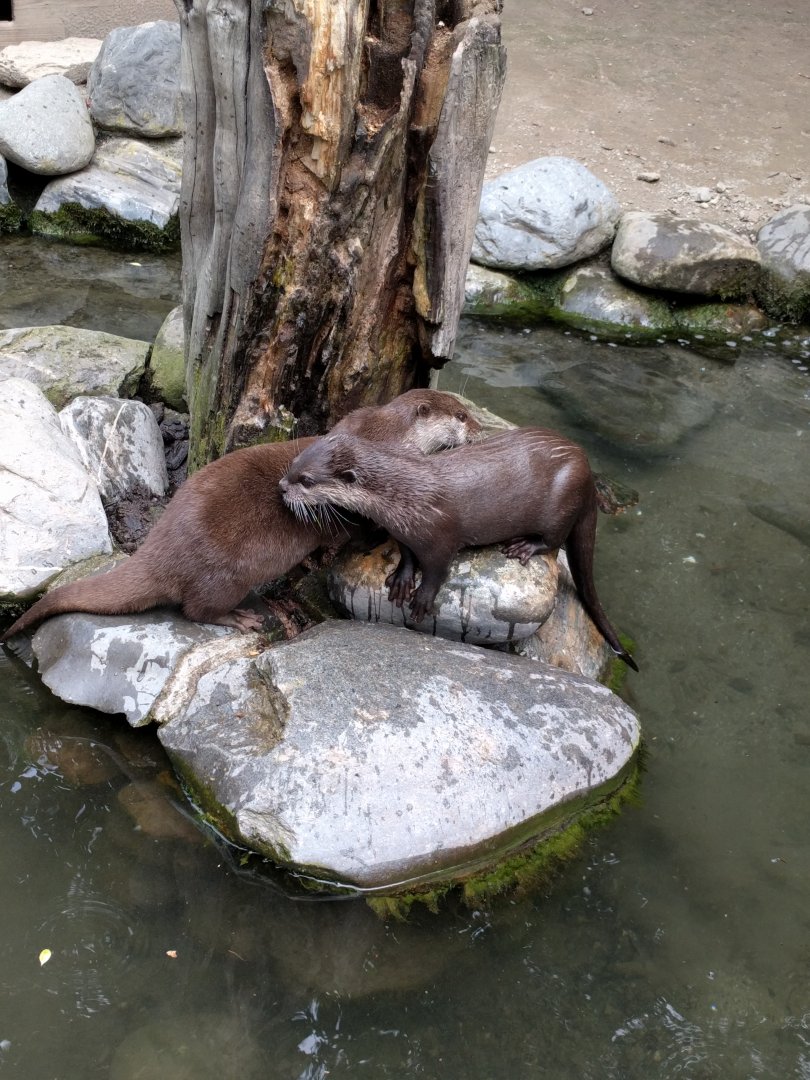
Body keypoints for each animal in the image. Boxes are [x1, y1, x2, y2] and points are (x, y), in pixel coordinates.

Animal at [2, 390, 481, 641]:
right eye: (462, 415)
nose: (479, 430)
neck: (388, 437)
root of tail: (158, 551)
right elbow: (360, 531)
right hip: (226, 574)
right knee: (195, 610)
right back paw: (240, 618)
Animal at [280, 428, 639, 671]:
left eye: (307, 480)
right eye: (293, 462)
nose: (282, 486)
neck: (401, 496)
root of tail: (586, 466)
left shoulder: (441, 536)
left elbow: (438, 570)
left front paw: (422, 599)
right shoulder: (403, 531)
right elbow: (407, 555)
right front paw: (402, 580)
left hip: (562, 500)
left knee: (554, 539)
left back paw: (525, 546)